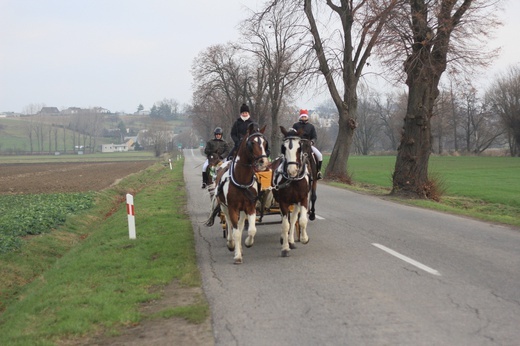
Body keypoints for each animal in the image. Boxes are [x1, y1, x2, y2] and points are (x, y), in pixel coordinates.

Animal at [204, 123, 268, 264]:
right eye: (252, 143)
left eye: (265, 143)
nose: (264, 162)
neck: (241, 179)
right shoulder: (232, 207)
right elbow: (236, 232)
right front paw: (237, 255)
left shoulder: (250, 206)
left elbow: (251, 229)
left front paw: (248, 243)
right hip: (224, 207)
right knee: (229, 223)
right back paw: (231, 243)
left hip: (242, 209)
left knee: (240, 224)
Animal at [270, 126, 310, 256]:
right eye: (284, 147)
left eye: (299, 147)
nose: (292, 170)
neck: (293, 180)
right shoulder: (283, 201)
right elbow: (285, 225)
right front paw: (285, 248)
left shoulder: (303, 198)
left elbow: (301, 220)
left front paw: (304, 238)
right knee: (286, 219)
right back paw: (285, 239)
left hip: (296, 202)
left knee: (293, 219)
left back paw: (291, 241)